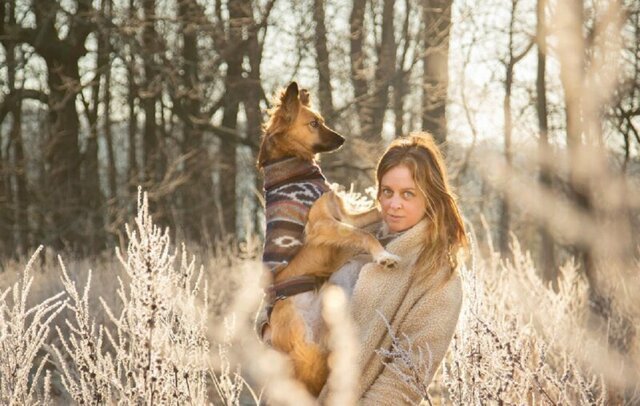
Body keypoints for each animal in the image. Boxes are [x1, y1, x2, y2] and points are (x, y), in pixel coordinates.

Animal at [256, 81, 398, 394]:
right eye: (313, 123)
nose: (343, 139)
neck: (293, 164)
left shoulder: (345, 217)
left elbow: (376, 212)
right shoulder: (323, 225)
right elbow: (362, 235)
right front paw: (383, 256)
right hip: (309, 354)